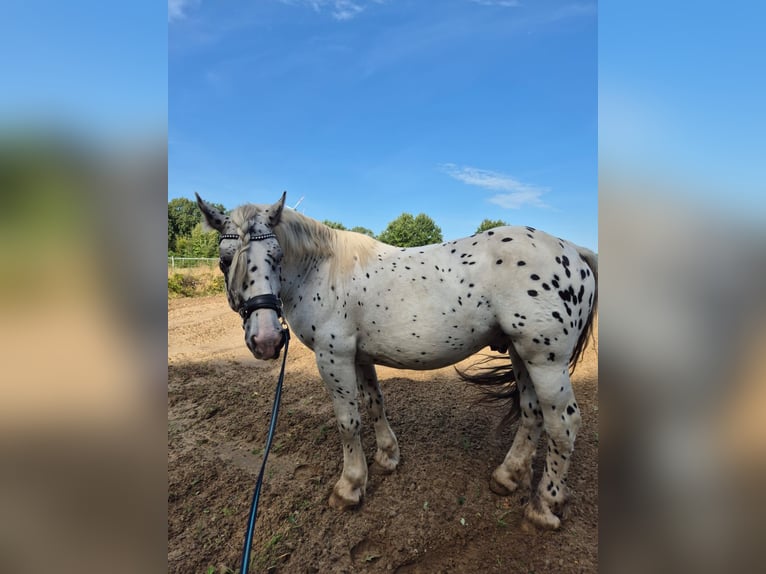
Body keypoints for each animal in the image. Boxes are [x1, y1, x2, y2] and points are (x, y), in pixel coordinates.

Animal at [196, 192, 597, 530]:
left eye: (276, 258)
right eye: (225, 261)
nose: (266, 340)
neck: (322, 270)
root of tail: (575, 250)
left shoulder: (333, 357)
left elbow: (348, 422)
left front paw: (350, 487)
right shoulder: (358, 357)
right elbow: (374, 403)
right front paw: (388, 456)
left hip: (546, 362)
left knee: (563, 425)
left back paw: (545, 506)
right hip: (521, 354)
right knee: (532, 415)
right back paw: (508, 476)